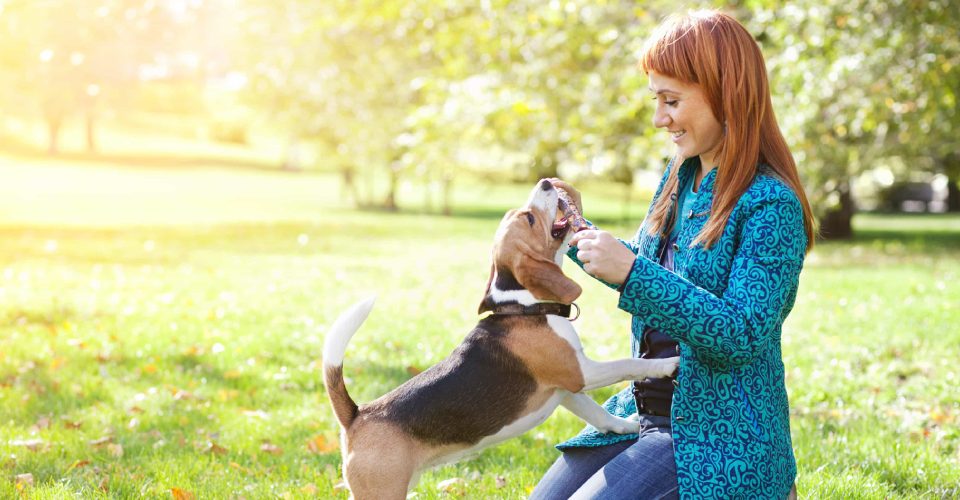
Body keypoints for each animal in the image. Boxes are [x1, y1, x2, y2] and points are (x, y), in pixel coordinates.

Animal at [326, 178, 680, 498]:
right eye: (530, 219)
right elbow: (628, 364)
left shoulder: (565, 389)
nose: (546, 181)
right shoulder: (580, 372)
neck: (525, 306)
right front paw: (668, 364)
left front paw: (629, 427)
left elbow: (599, 415)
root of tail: (357, 415)